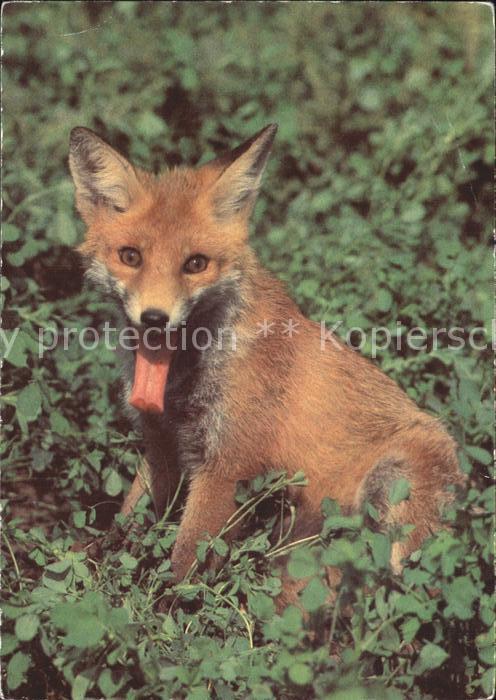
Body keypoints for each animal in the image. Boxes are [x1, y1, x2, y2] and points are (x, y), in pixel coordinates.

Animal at [68, 124, 464, 605]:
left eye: (195, 264)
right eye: (130, 256)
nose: (155, 318)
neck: (186, 378)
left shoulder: (226, 465)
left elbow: (183, 562)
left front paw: (162, 611)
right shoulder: (161, 444)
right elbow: (126, 521)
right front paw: (98, 560)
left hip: (388, 489)